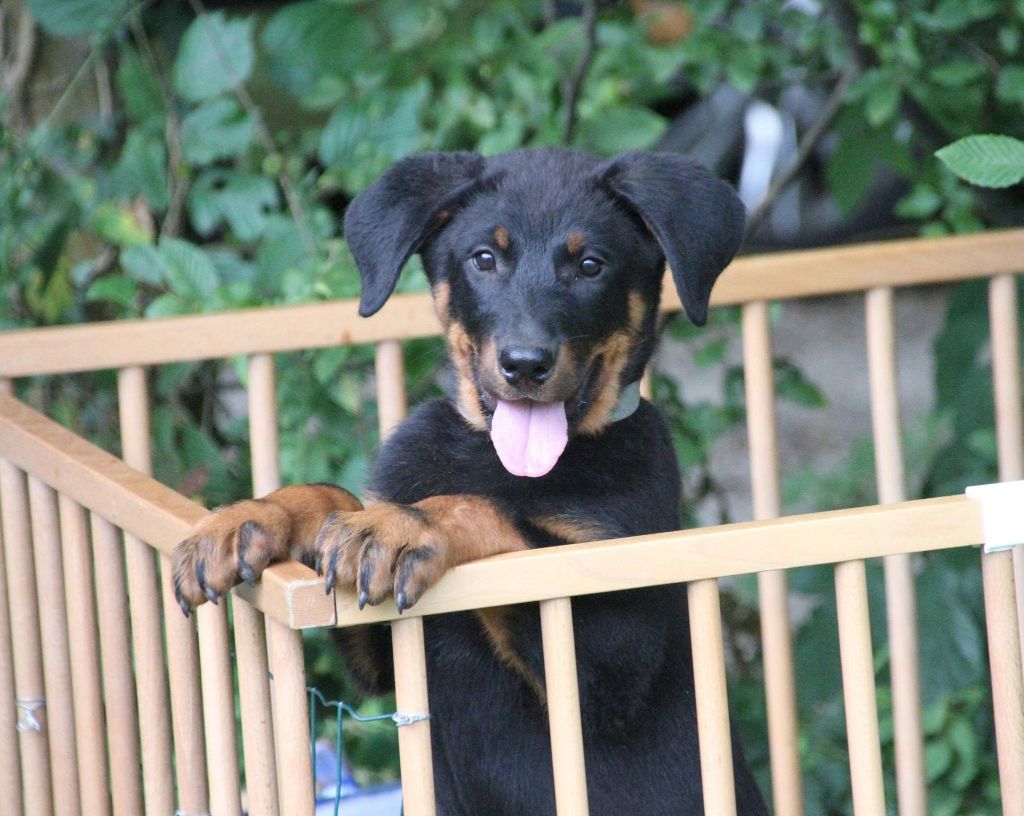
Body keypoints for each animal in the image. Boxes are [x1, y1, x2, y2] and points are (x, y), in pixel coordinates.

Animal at [176, 148, 770, 814]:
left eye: (591, 266)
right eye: (484, 259)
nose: (526, 365)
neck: (499, 458)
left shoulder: (612, 666)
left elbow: (490, 512)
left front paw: (401, 527)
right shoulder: (384, 649)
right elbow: (335, 498)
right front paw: (250, 516)